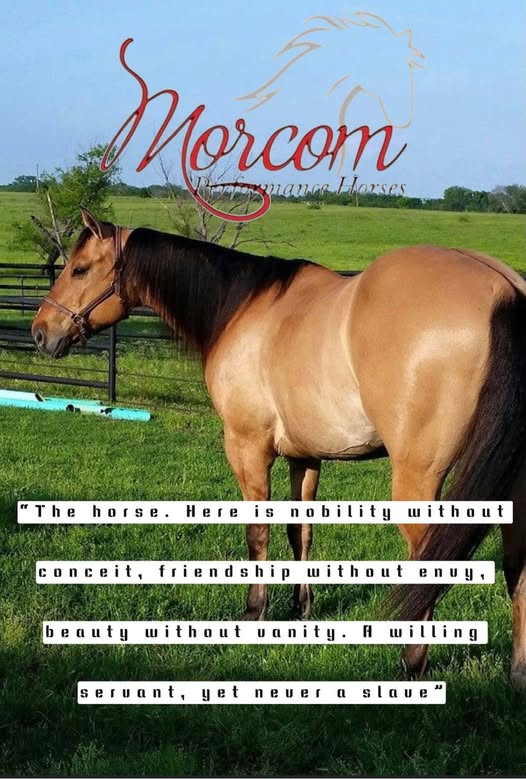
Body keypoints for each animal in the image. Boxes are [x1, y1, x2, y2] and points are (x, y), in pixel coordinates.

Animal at [31, 207, 526, 688]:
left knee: (432, 560)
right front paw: (299, 607)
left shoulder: (247, 447)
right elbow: (298, 531)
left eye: (79, 269)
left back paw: (411, 663)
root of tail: (506, 290)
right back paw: (517, 672)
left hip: (418, 480)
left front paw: (255, 612)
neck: (242, 308)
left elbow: (258, 532)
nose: (40, 332)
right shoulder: (305, 457)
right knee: (516, 562)